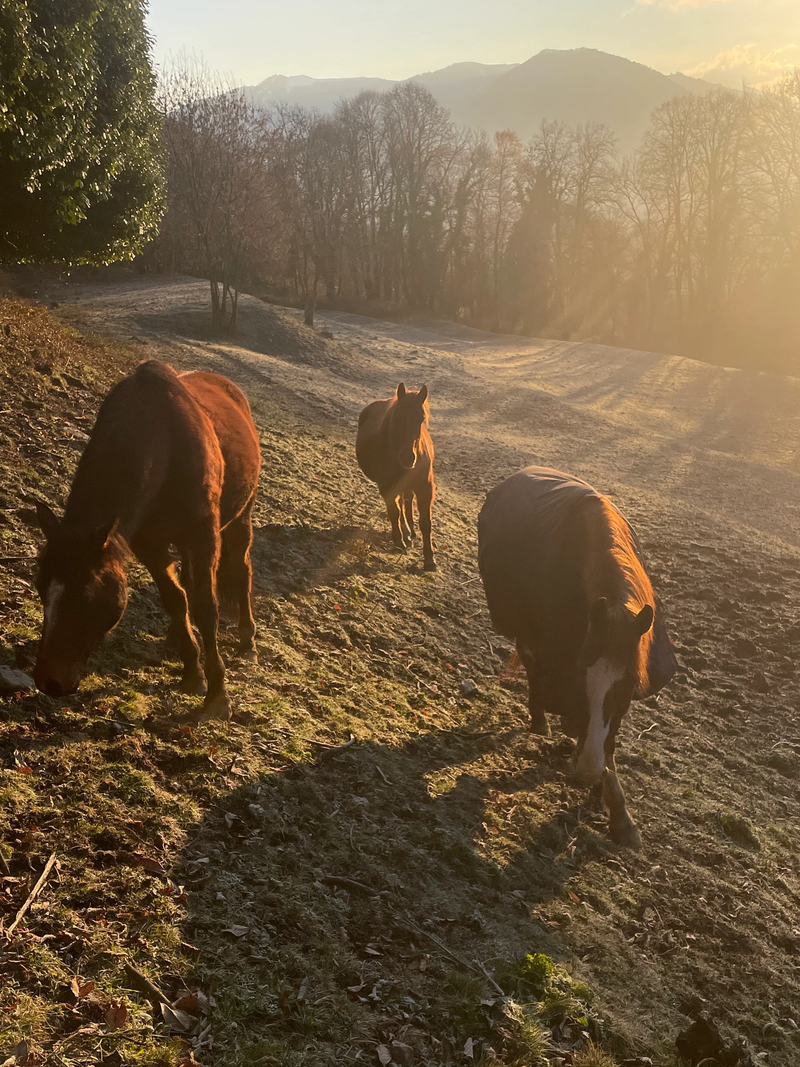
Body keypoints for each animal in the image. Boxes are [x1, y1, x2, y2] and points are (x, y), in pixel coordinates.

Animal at [33, 360, 261, 720]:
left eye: (86, 597)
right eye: (41, 588)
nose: (48, 681)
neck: (166, 443)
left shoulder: (203, 536)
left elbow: (206, 607)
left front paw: (217, 695)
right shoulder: (148, 544)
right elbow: (175, 599)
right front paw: (192, 672)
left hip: (239, 519)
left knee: (241, 570)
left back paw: (247, 641)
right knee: (188, 584)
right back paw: (176, 637)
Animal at [355, 382, 437, 571]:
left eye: (421, 418)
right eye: (398, 417)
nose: (407, 457)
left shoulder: (425, 488)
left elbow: (425, 522)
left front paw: (429, 559)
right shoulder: (386, 486)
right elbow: (394, 512)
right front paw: (399, 541)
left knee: (406, 500)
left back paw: (410, 531)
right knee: (400, 505)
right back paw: (405, 533)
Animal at [478, 466, 676, 848]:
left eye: (629, 685)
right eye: (579, 675)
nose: (586, 769)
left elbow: (609, 743)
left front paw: (617, 812)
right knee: (530, 664)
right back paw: (541, 721)